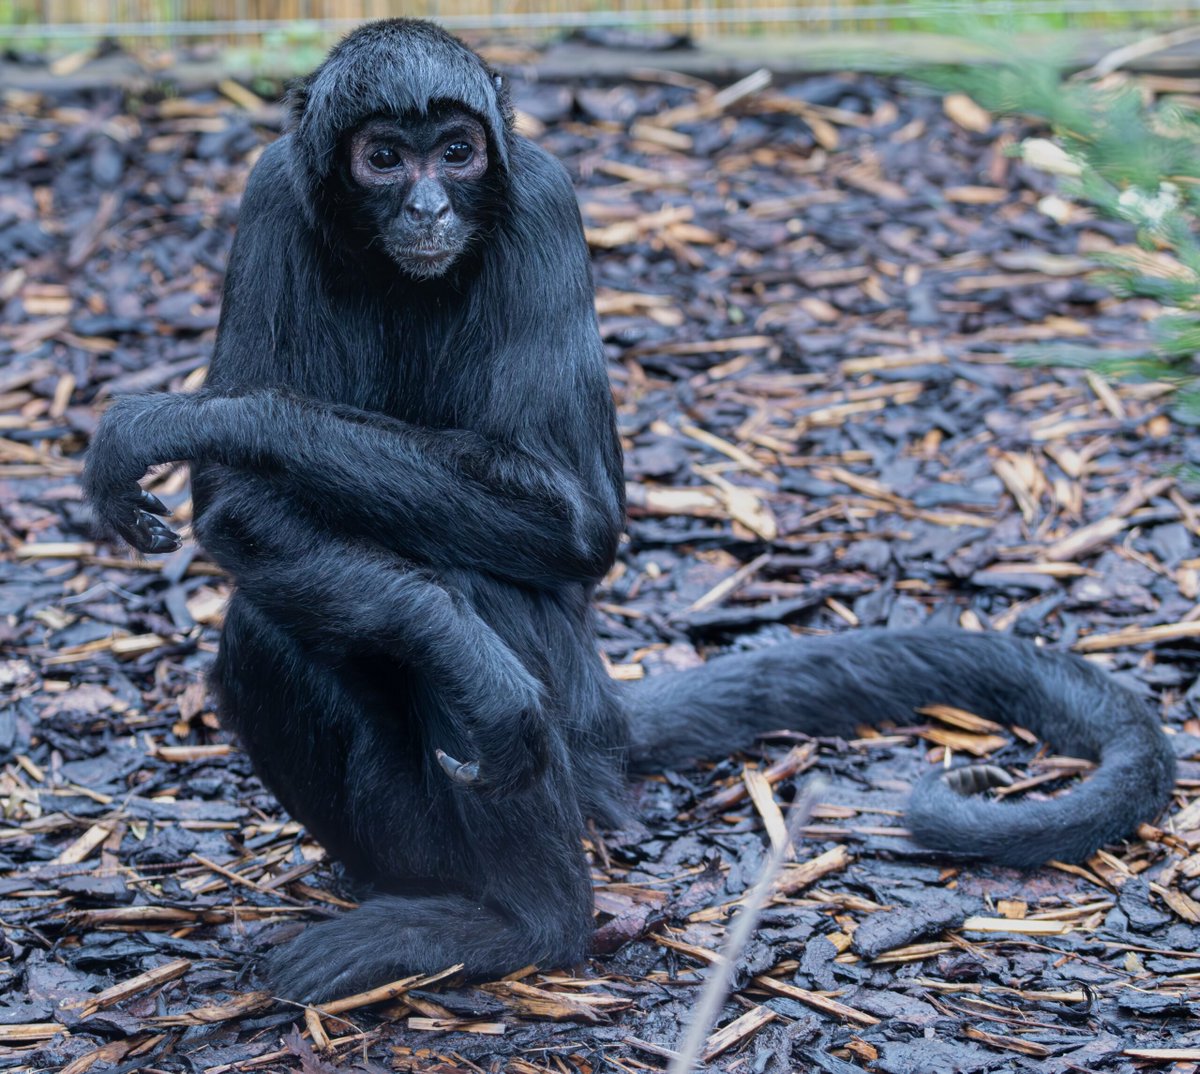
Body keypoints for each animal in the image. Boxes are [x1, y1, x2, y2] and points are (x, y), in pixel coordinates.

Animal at [82, 19, 1176, 1002]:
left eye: (456, 151)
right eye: (383, 157)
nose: (429, 203)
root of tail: (606, 712)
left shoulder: (541, 203)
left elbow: (573, 526)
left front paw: (203, 416)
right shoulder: (273, 194)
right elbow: (241, 508)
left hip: (572, 743)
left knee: (466, 596)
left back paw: (526, 926)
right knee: (280, 618)